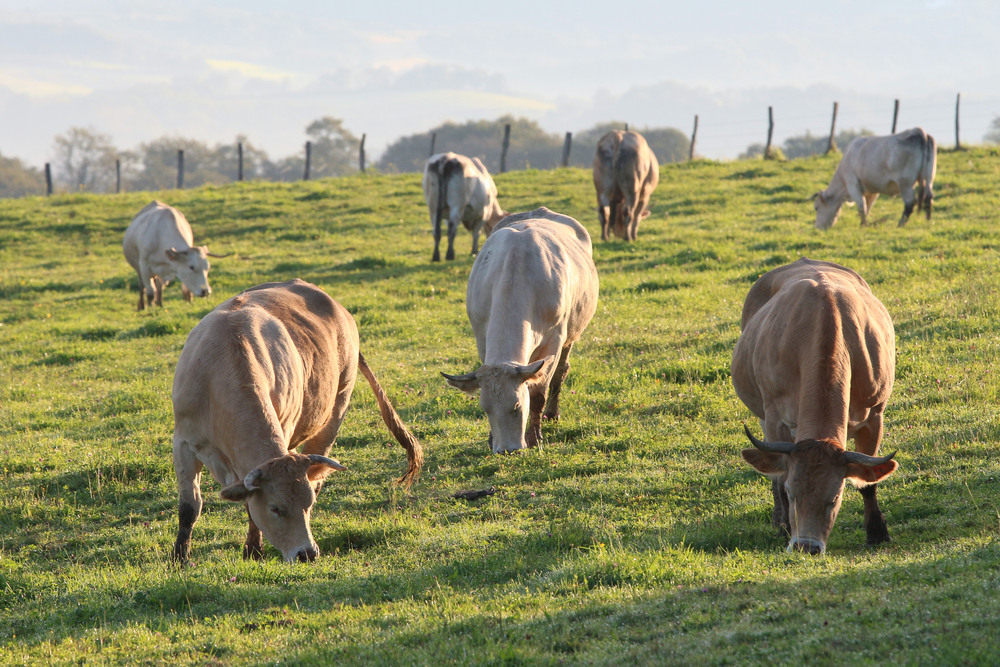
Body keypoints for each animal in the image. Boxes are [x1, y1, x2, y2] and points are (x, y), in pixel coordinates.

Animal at [171, 279, 422, 563]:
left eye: (308, 505)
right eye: (275, 508)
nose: (307, 553)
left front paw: (253, 550)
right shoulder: (183, 442)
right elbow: (190, 506)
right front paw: (180, 557)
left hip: (337, 407)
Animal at [442, 207, 598, 454]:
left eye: (516, 406)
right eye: (485, 409)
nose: (506, 449)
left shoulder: (554, 340)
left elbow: (538, 393)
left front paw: (534, 437)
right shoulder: (481, 337)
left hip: (571, 334)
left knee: (561, 373)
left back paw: (552, 413)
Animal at [732, 258, 898, 555]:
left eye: (835, 498)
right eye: (792, 493)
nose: (806, 546)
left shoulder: (874, 415)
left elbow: (868, 483)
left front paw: (877, 533)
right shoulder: (775, 417)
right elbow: (780, 474)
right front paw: (785, 527)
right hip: (761, 412)